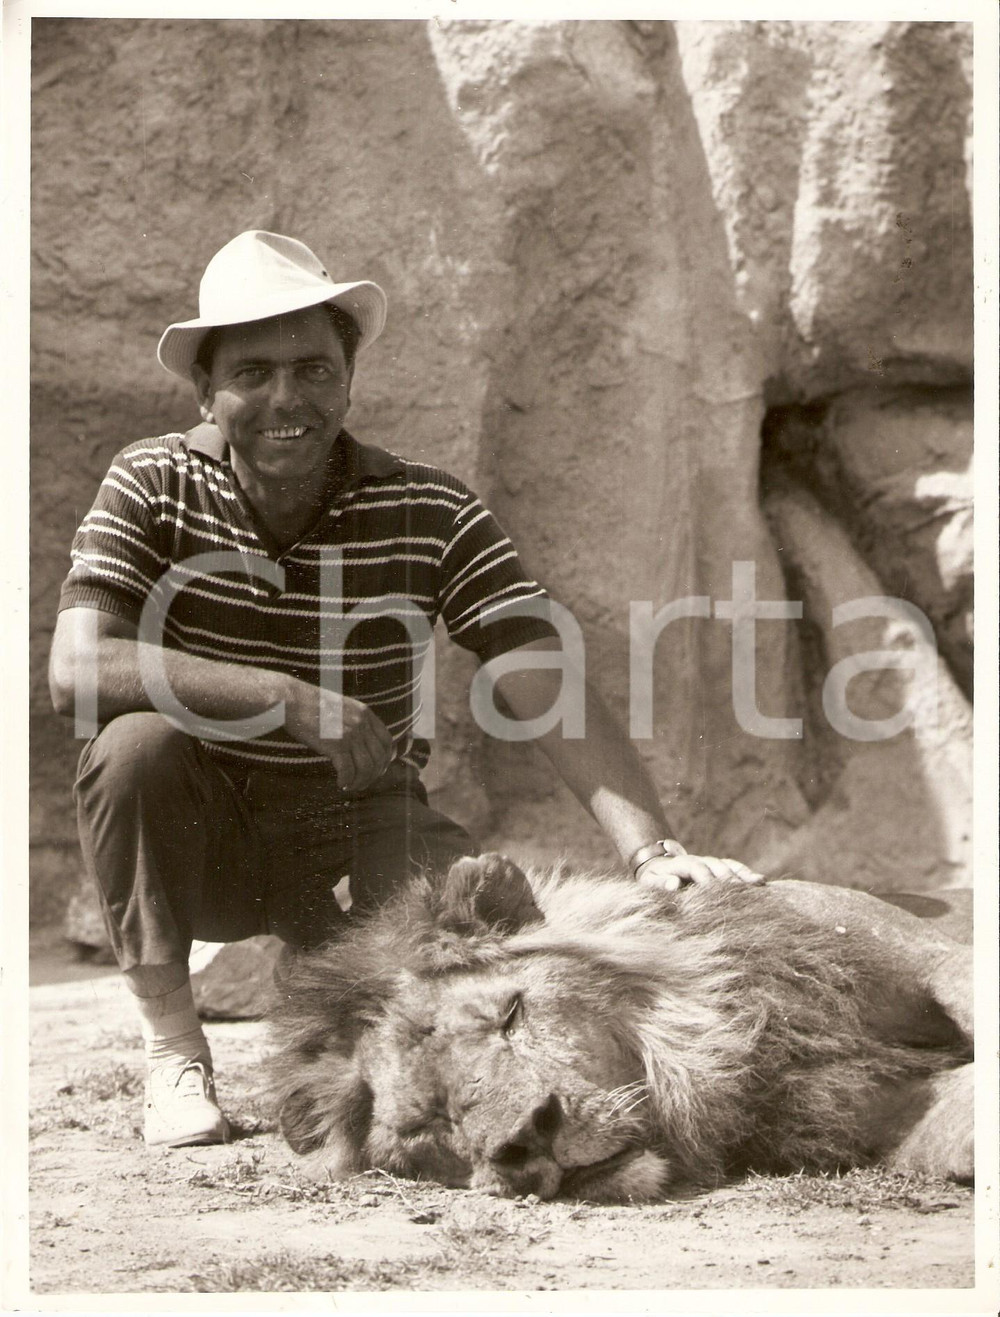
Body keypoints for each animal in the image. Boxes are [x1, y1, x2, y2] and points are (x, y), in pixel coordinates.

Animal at [268, 854, 974, 1203]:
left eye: (512, 1014)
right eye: (424, 1127)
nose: (528, 1136)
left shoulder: (924, 955)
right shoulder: (853, 1106)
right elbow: (949, 1134)